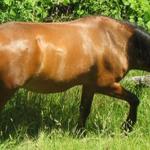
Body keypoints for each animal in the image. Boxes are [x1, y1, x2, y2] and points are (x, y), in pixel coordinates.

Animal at [0, 16, 149, 132]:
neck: (115, 40)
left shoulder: (89, 86)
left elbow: (84, 109)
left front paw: (80, 133)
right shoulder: (106, 84)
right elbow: (134, 100)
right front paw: (127, 127)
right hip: (7, 90)